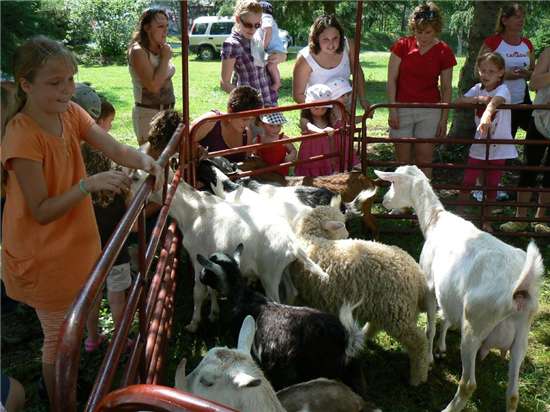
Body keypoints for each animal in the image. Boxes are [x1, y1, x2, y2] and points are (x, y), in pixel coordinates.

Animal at [169, 180, 328, 332]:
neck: (195, 212)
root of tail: (292, 244)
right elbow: (211, 288)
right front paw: (214, 314)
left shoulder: (197, 257)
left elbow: (198, 292)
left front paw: (193, 324)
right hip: (283, 269)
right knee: (291, 291)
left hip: (269, 275)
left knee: (275, 299)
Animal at [292, 206, 438, 386]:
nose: (348, 234)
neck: (311, 238)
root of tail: (419, 277)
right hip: (387, 308)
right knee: (377, 325)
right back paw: (363, 335)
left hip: (398, 313)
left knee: (419, 343)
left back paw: (418, 377)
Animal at [378, 165, 544, 412]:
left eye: (393, 182)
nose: (384, 201)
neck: (435, 220)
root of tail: (521, 288)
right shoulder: (448, 292)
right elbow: (445, 317)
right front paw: (441, 348)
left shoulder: (430, 284)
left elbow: (430, 326)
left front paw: (429, 357)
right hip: (522, 335)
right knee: (513, 394)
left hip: (474, 325)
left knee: (468, 384)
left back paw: (448, 408)